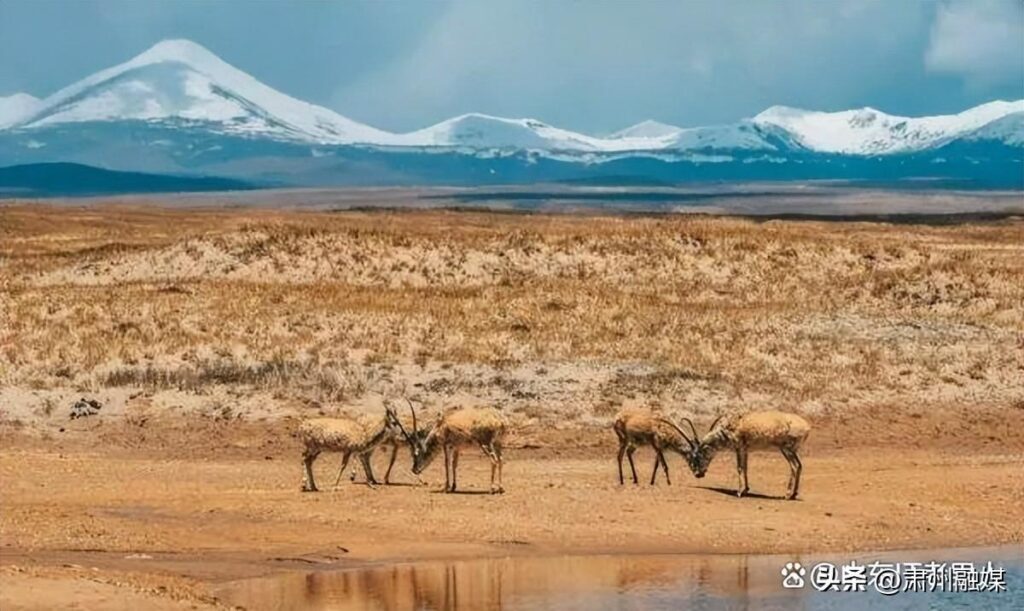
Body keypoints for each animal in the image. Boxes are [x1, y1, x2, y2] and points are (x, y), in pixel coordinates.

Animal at [675, 409, 811, 499]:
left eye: (697, 456)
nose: (699, 474)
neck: (729, 427)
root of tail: (807, 427)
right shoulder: (745, 450)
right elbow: (745, 468)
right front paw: (746, 490)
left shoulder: (739, 448)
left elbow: (739, 468)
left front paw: (739, 492)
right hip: (792, 450)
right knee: (800, 465)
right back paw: (794, 494)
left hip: (786, 449)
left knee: (794, 466)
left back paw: (787, 495)